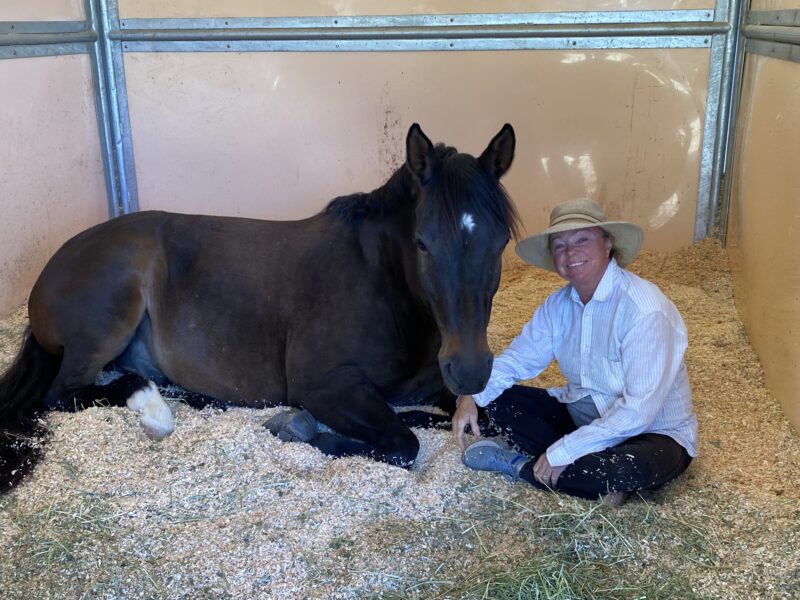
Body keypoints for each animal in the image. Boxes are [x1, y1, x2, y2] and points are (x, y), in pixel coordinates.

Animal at [0, 124, 520, 490]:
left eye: (500, 243)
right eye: (423, 242)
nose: (470, 369)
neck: (382, 283)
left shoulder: (433, 386)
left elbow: (477, 416)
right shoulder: (325, 384)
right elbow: (402, 443)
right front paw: (304, 429)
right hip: (106, 325)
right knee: (63, 394)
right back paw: (154, 411)